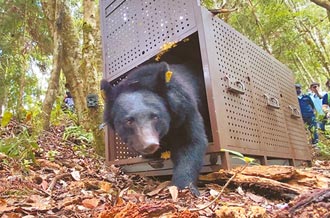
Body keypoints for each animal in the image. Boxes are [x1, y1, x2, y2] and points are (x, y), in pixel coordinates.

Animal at [102, 61, 208, 196]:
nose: (150, 145)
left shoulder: (185, 110)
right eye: (129, 121)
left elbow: (190, 142)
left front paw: (182, 187)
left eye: (155, 117)